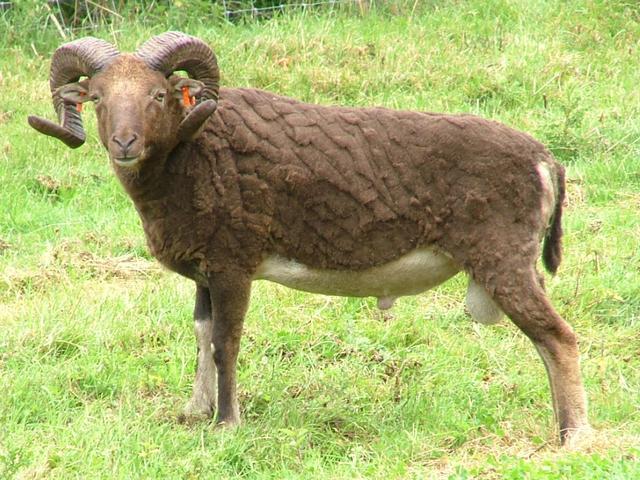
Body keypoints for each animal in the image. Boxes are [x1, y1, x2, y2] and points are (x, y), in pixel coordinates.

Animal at [28, 31, 591, 445]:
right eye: (97, 98)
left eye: (159, 95)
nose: (124, 143)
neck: (191, 154)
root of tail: (545, 159)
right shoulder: (205, 272)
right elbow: (201, 336)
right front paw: (195, 412)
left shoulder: (233, 264)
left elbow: (226, 343)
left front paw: (227, 424)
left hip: (504, 259)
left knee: (559, 338)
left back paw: (575, 437)